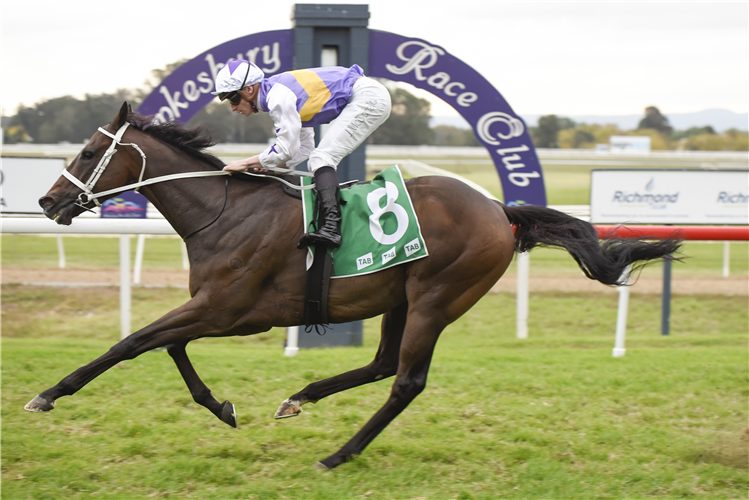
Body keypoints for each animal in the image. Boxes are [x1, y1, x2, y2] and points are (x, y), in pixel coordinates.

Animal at [24, 101, 676, 468]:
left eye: (87, 151)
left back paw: (339, 454)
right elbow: (169, 346)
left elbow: (134, 342)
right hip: (399, 297)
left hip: (438, 298)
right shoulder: (215, 309)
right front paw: (223, 407)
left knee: (406, 381)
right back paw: (300, 397)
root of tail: (500, 210)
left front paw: (49, 393)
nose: (47, 201)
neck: (224, 212)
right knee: (385, 365)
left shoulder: (230, 311)